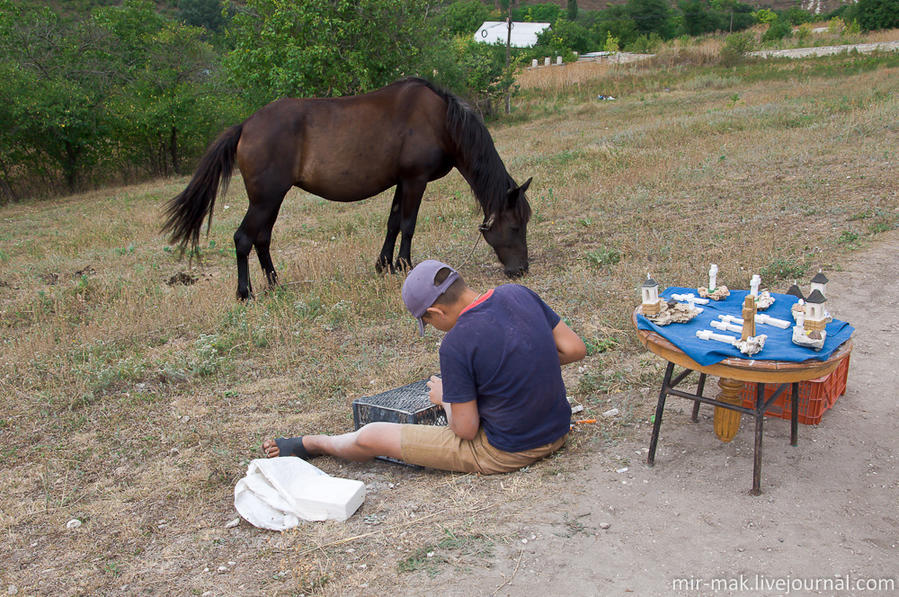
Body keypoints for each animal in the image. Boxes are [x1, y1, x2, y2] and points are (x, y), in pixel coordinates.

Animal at [162, 77, 532, 300]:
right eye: (515, 226)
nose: (521, 270)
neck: (440, 120)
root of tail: (245, 125)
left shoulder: (401, 181)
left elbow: (393, 222)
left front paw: (384, 265)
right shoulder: (415, 180)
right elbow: (408, 224)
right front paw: (406, 265)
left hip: (272, 200)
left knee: (262, 239)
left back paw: (275, 282)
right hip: (265, 199)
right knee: (243, 239)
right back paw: (245, 292)